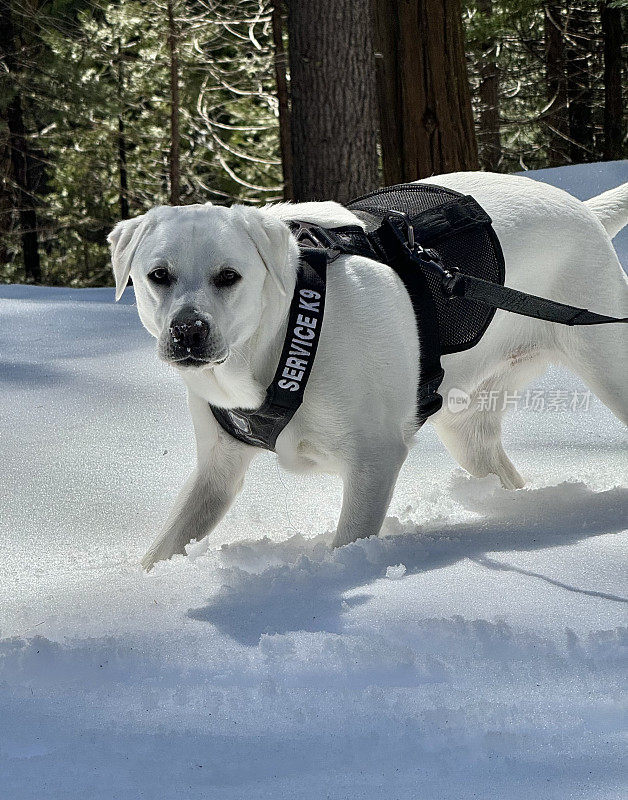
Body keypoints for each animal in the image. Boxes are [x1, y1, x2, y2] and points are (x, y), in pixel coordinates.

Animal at [108, 173, 628, 568]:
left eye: (229, 276)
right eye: (158, 275)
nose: (188, 330)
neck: (286, 334)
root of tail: (585, 211)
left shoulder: (373, 459)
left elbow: (349, 540)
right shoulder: (216, 470)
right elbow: (168, 542)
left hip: (611, 369)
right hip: (467, 428)